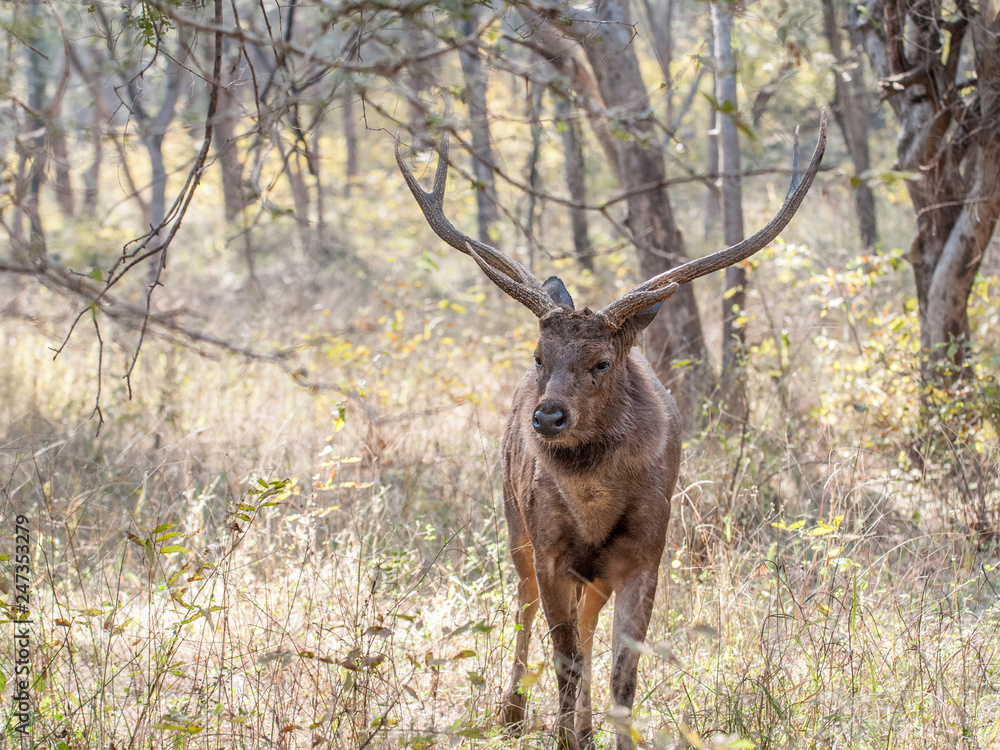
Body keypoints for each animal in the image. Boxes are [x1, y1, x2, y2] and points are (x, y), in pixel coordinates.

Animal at [396, 112, 826, 750]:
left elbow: (623, 670)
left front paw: (604, 735)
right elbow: (566, 660)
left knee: (589, 624)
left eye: (601, 362)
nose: (548, 416)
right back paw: (513, 713)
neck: (594, 507)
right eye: (539, 356)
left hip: (592, 569)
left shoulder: (647, 552)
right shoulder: (550, 549)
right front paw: (562, 736)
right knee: (526, 608)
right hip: (513, 521)